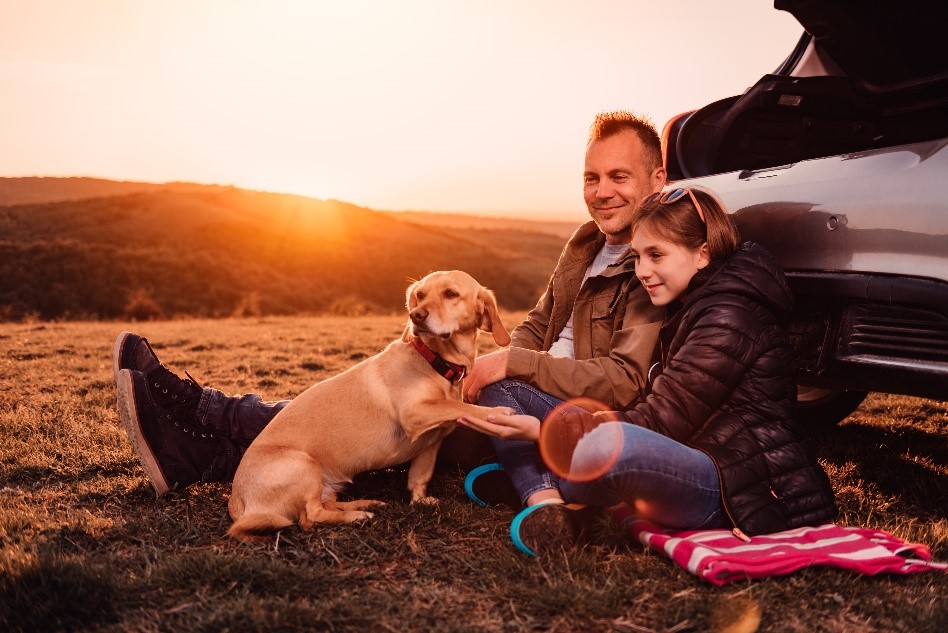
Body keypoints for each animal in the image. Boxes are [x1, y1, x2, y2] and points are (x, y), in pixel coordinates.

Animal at [227, 270, 516, 540]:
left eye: (451, 294)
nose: (416, 316)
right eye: (420, 295)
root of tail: (237, 504)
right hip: (304, 464)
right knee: (312, 516)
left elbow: (420, 478)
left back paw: (365, 503)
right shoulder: (415, 413)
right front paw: (495, 412)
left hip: (324, 482)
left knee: (327, 506)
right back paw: (357, 515)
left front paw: (420, 500)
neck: (436, 361)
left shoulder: (431, 443)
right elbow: (459, 407)